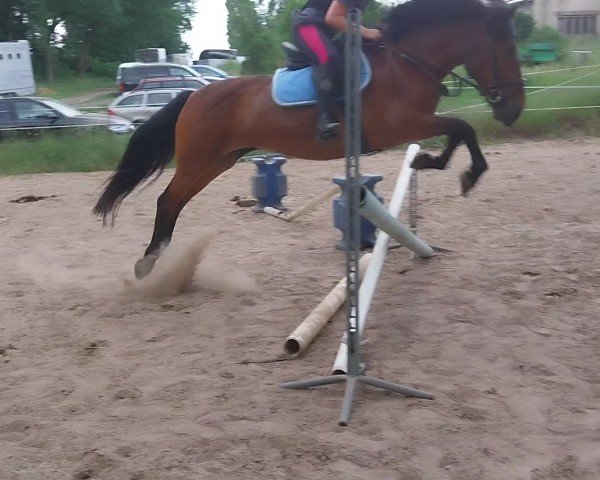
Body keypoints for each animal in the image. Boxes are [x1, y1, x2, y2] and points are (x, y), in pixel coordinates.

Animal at [94, 0, 524, 278]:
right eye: (505, 49)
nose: (513, 110)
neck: (405, 62)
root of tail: (193, 95)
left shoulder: (414, 124)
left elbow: (458, 131)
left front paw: (430, 163)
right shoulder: (402, 125)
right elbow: (461, 127)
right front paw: (462, 173)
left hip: (219, 160)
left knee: (177, 201)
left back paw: (158, 259)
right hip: (200, 159)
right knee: (168, 200)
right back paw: (148, 262)